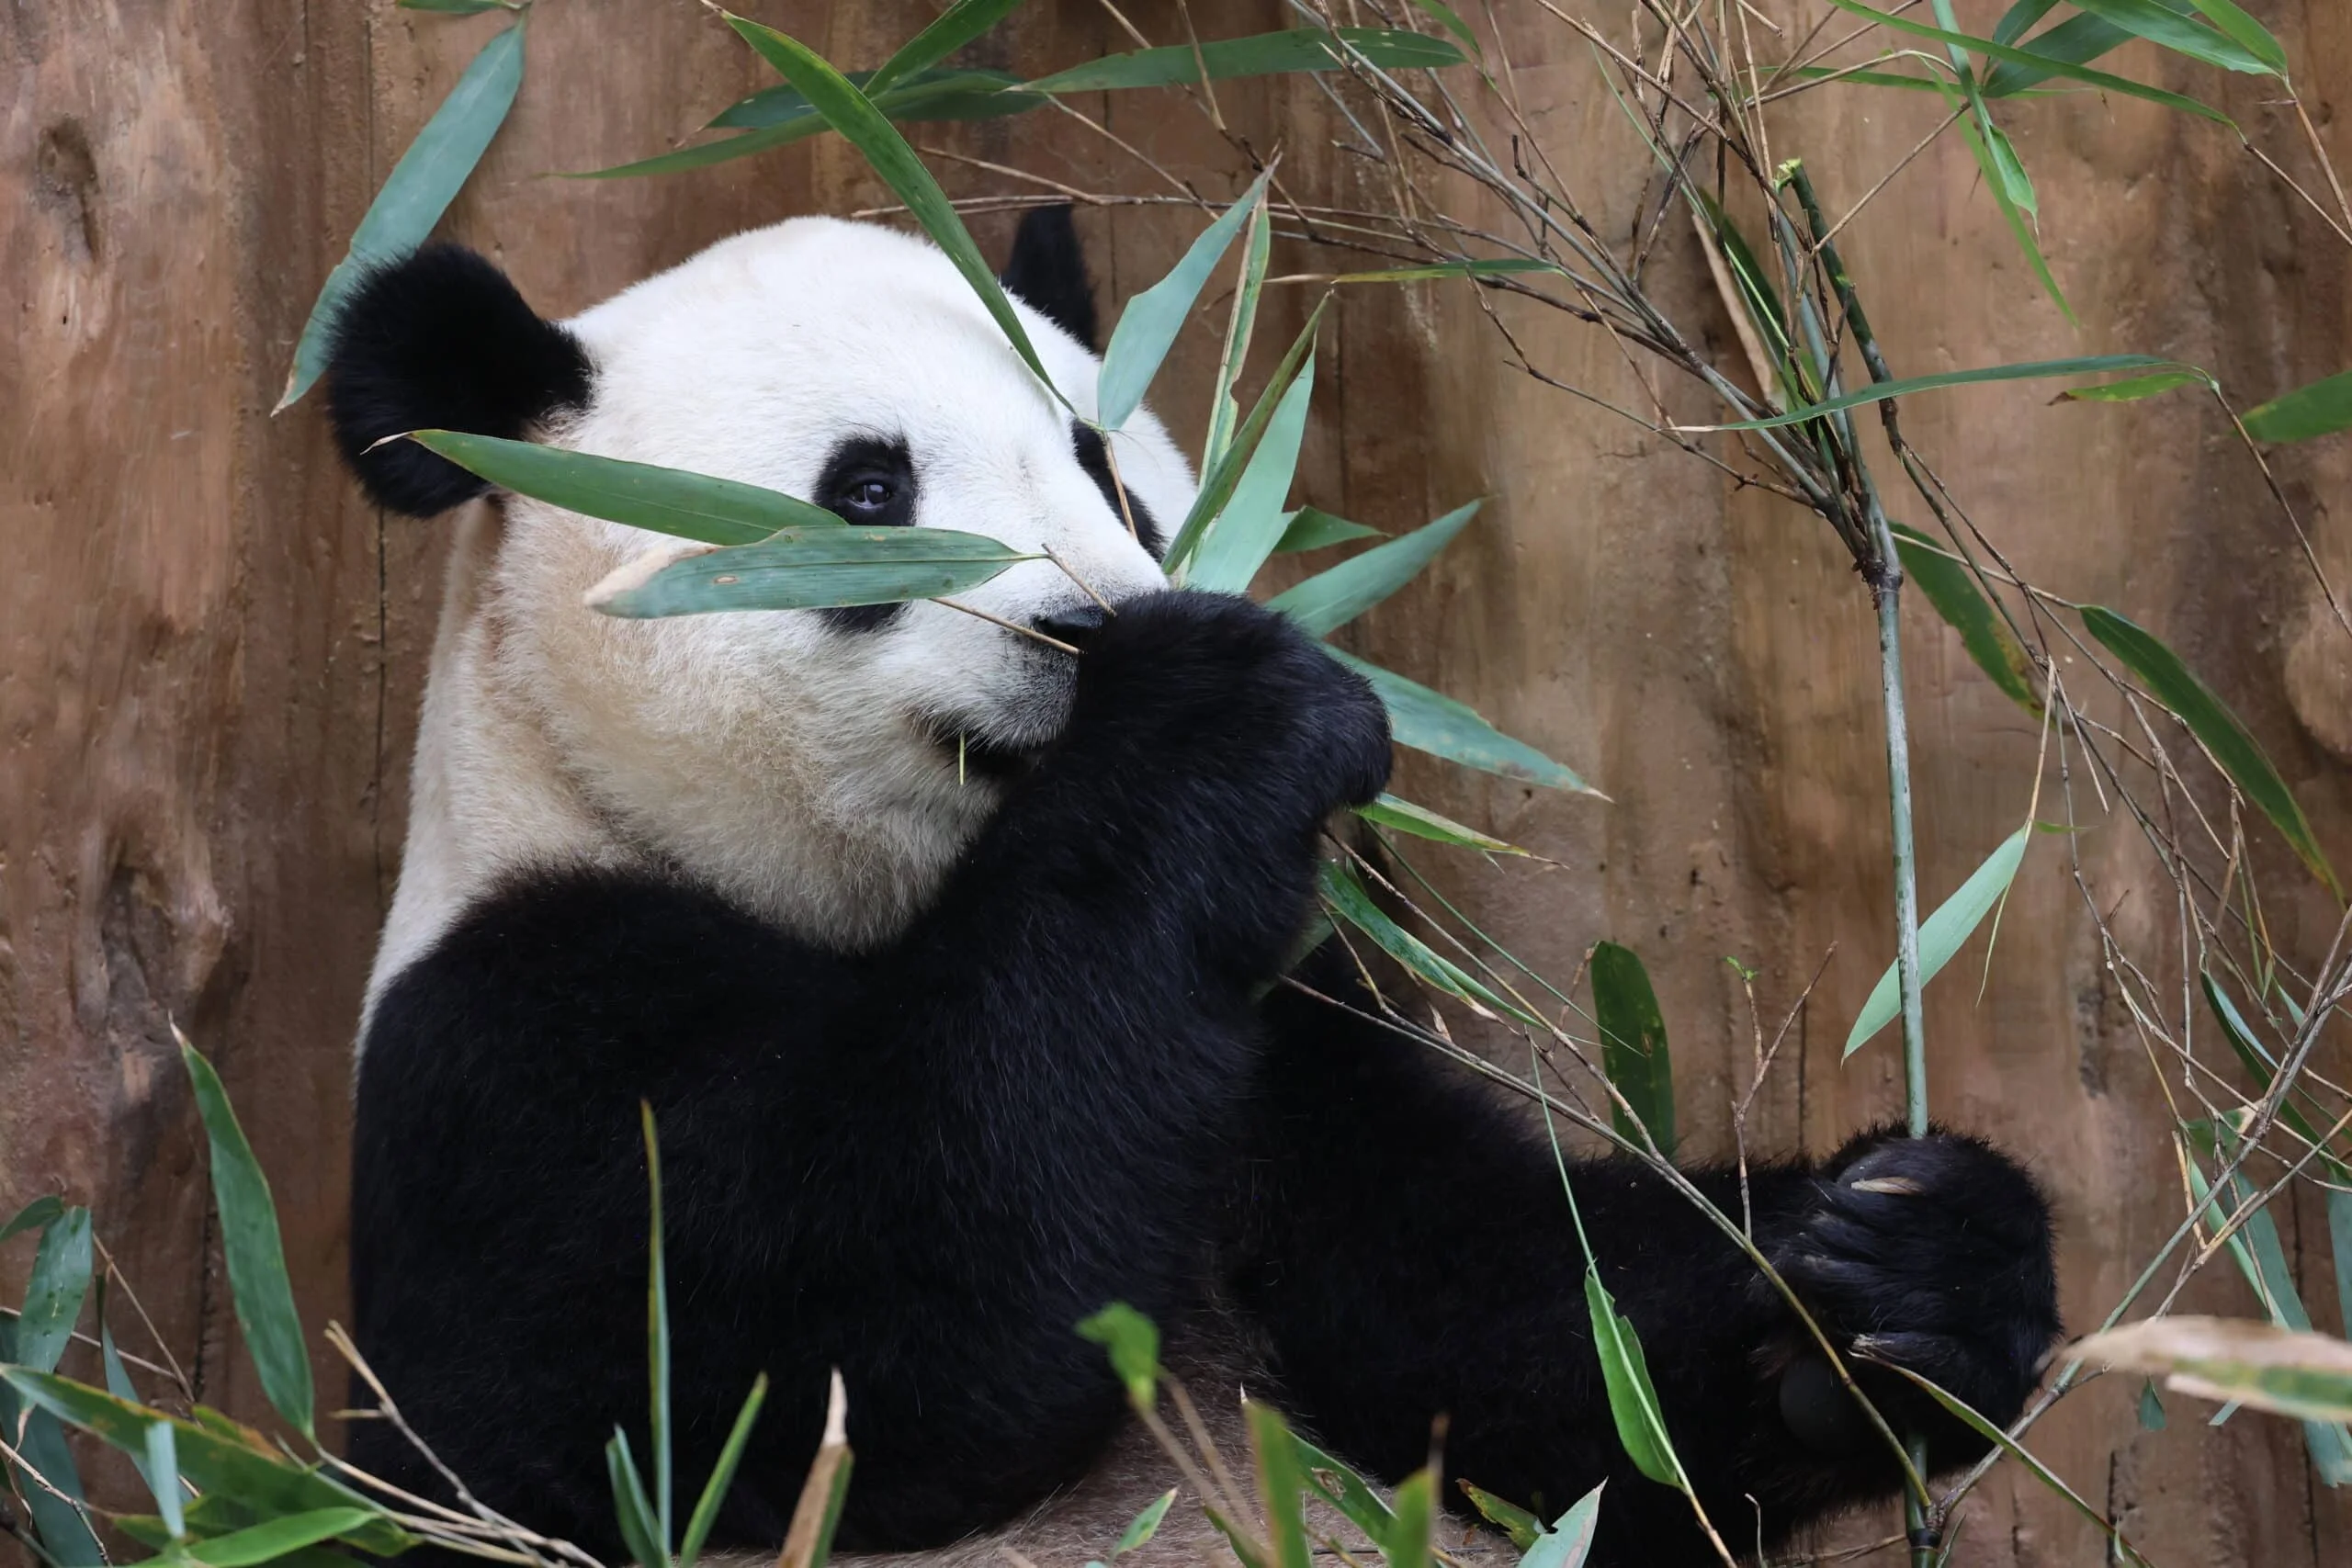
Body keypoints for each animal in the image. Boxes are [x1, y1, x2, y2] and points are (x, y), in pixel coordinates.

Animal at [324, 205, 2061, 1567]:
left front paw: (1903, 1271)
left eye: (1107, 469)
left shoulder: (1279, 1038)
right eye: (868, 492)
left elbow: (1515, 1346)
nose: (1089, 625)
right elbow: (823, 1347)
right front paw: (1216, 702)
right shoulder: (510, 1040)